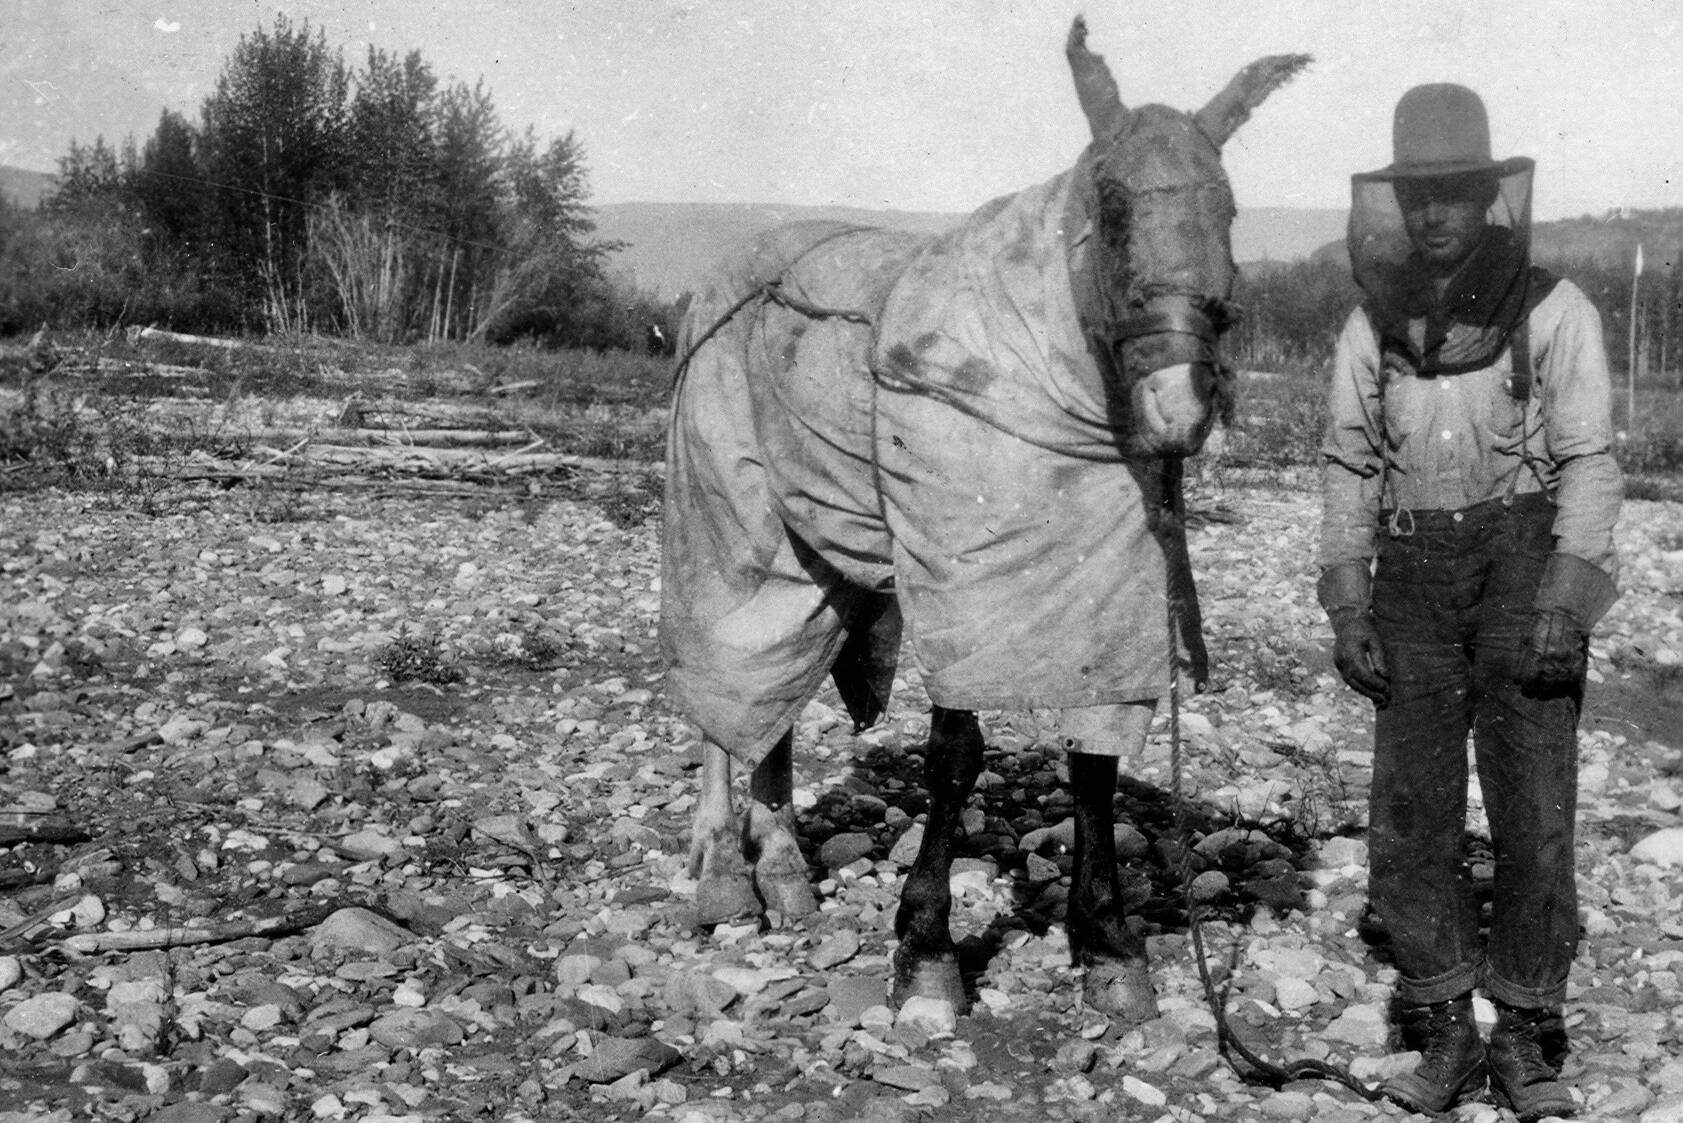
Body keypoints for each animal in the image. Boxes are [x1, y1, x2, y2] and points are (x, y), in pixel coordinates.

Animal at [663, 15, 1306, 1016]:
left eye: (1229, 210)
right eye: (1108, 206)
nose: (1178, 406)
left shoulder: (1103, 608)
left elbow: (1094, 767)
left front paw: (1107, 943)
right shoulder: (956, 580)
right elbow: (954, 755)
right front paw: (926, 954)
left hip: (820, 553)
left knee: (775, 692)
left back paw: (783, 871)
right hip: (728, 514)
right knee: (727, 685)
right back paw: (726, 877)